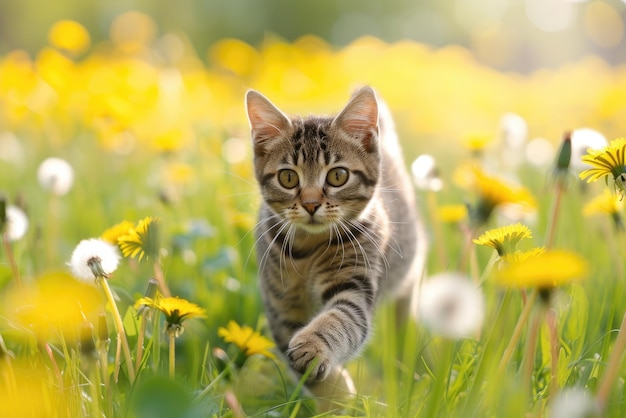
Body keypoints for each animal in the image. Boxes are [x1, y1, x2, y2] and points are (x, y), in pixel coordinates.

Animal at [244, 86, 424, 410]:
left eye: (337, 176)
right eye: (288, 177)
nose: (311, 204)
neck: (306, 249)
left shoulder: (354, 283)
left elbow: (341, 319)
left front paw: (314, 348)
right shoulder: (280, 306)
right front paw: (334, 396)